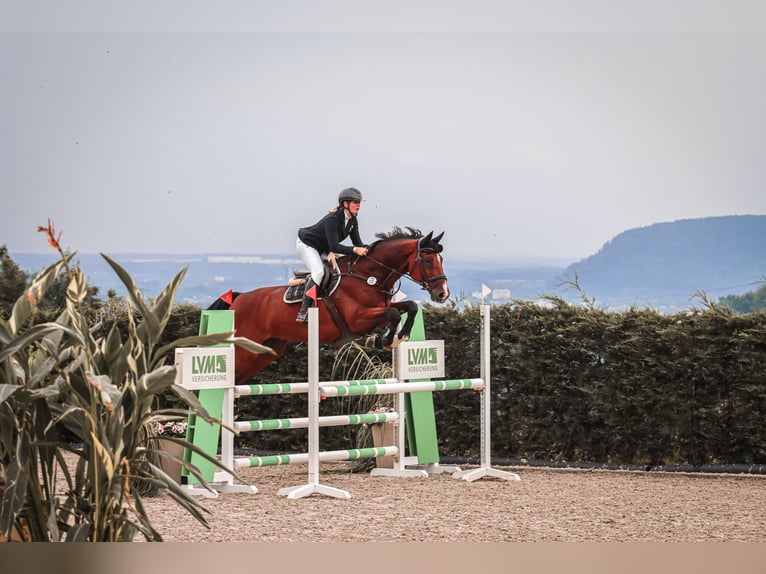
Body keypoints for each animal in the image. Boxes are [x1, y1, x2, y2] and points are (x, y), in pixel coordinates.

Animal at [210, 227, 450, 384]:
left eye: (441, 260)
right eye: (428, 260)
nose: (442, 294)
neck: (369, 276)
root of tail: (239, 299)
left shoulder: (382, 307)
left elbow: (409, 307)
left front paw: (397, 337)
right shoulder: (358, 319)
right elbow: (393, 313)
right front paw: (383, 340)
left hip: (267, 351)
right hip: (244, 350)